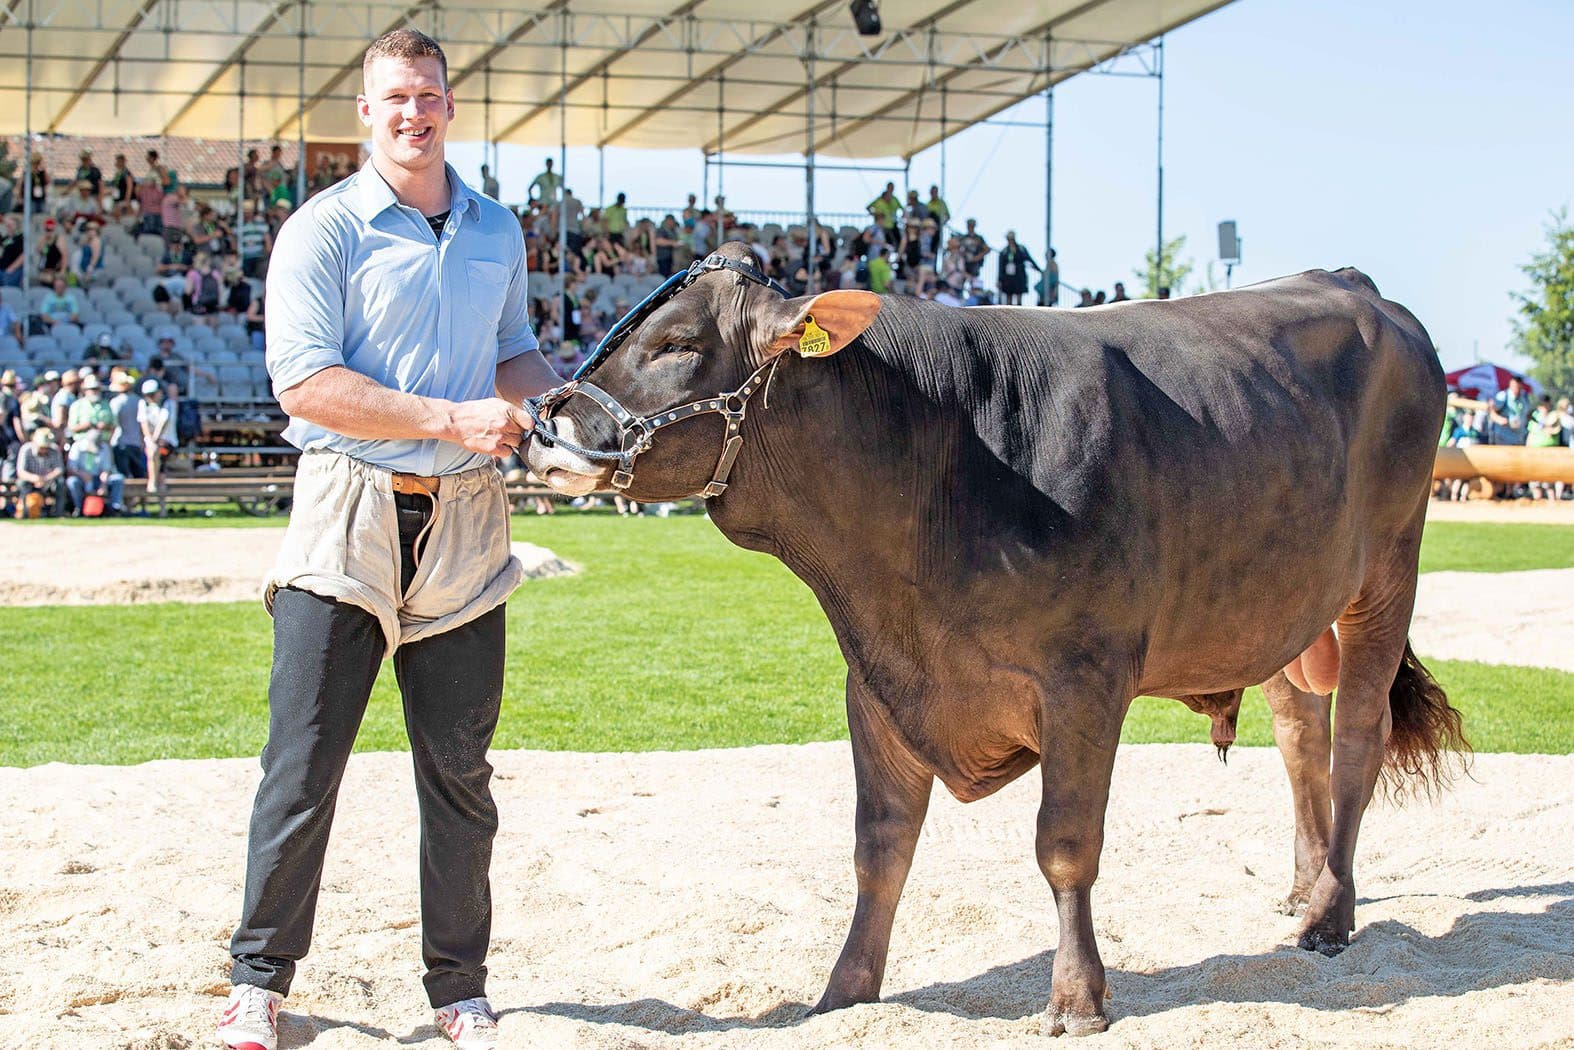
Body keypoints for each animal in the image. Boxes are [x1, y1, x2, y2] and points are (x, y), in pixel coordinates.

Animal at [525, 244, 1460, 1032]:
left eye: (677, 342)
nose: (545, 431)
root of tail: (1350, 280)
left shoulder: (1085, 678)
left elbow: (1066, 845)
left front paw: (1077, 999)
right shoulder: (876, 680)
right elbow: (878, 847)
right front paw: (842, 994)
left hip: (1389, 567)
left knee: (1358, 734)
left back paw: (1332, 915)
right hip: (1279, 605)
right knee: (1301, 733)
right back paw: (1303, 890)